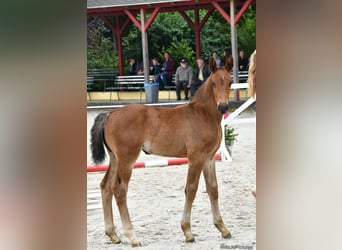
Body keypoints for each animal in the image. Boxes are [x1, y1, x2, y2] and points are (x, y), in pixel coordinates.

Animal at [90, 56, 235, 246]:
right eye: (213, 82)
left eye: (230, 82)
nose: (223, 107)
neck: (202, 114)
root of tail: (110, 114)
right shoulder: (195, 158)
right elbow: (191, 189)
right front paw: (188, 232)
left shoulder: (209, 158)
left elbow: (213, 189)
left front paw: (223, 228)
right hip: (127, 159)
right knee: (119, 190)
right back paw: (132, 236)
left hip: (115, 158)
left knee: (105, 186)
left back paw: (113, 235)